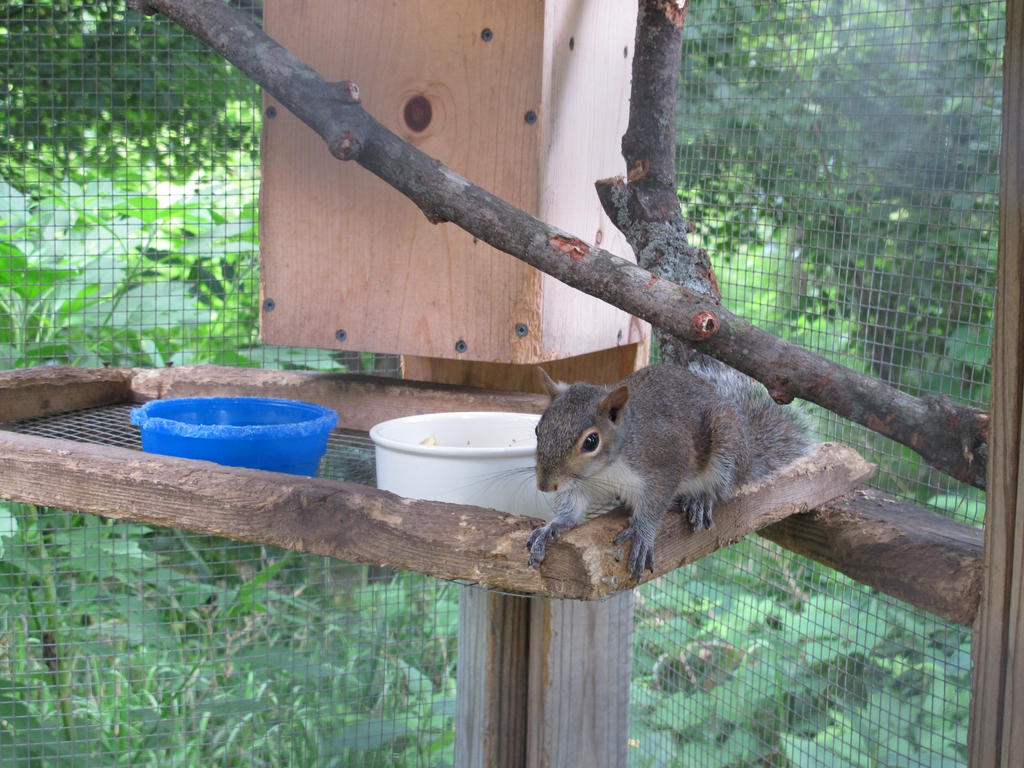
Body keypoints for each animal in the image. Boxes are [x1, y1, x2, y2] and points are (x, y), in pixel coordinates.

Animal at [528, 358, 806, 581]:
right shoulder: (580, 484)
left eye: (591, 441)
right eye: (538, 429)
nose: (545, 485)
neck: (605, 470)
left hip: (726, 442)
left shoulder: (666, 462)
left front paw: (642, 533)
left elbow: (655, 506)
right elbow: (570, 508)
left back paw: (700, 499)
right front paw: (551, 528)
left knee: (721, 487)